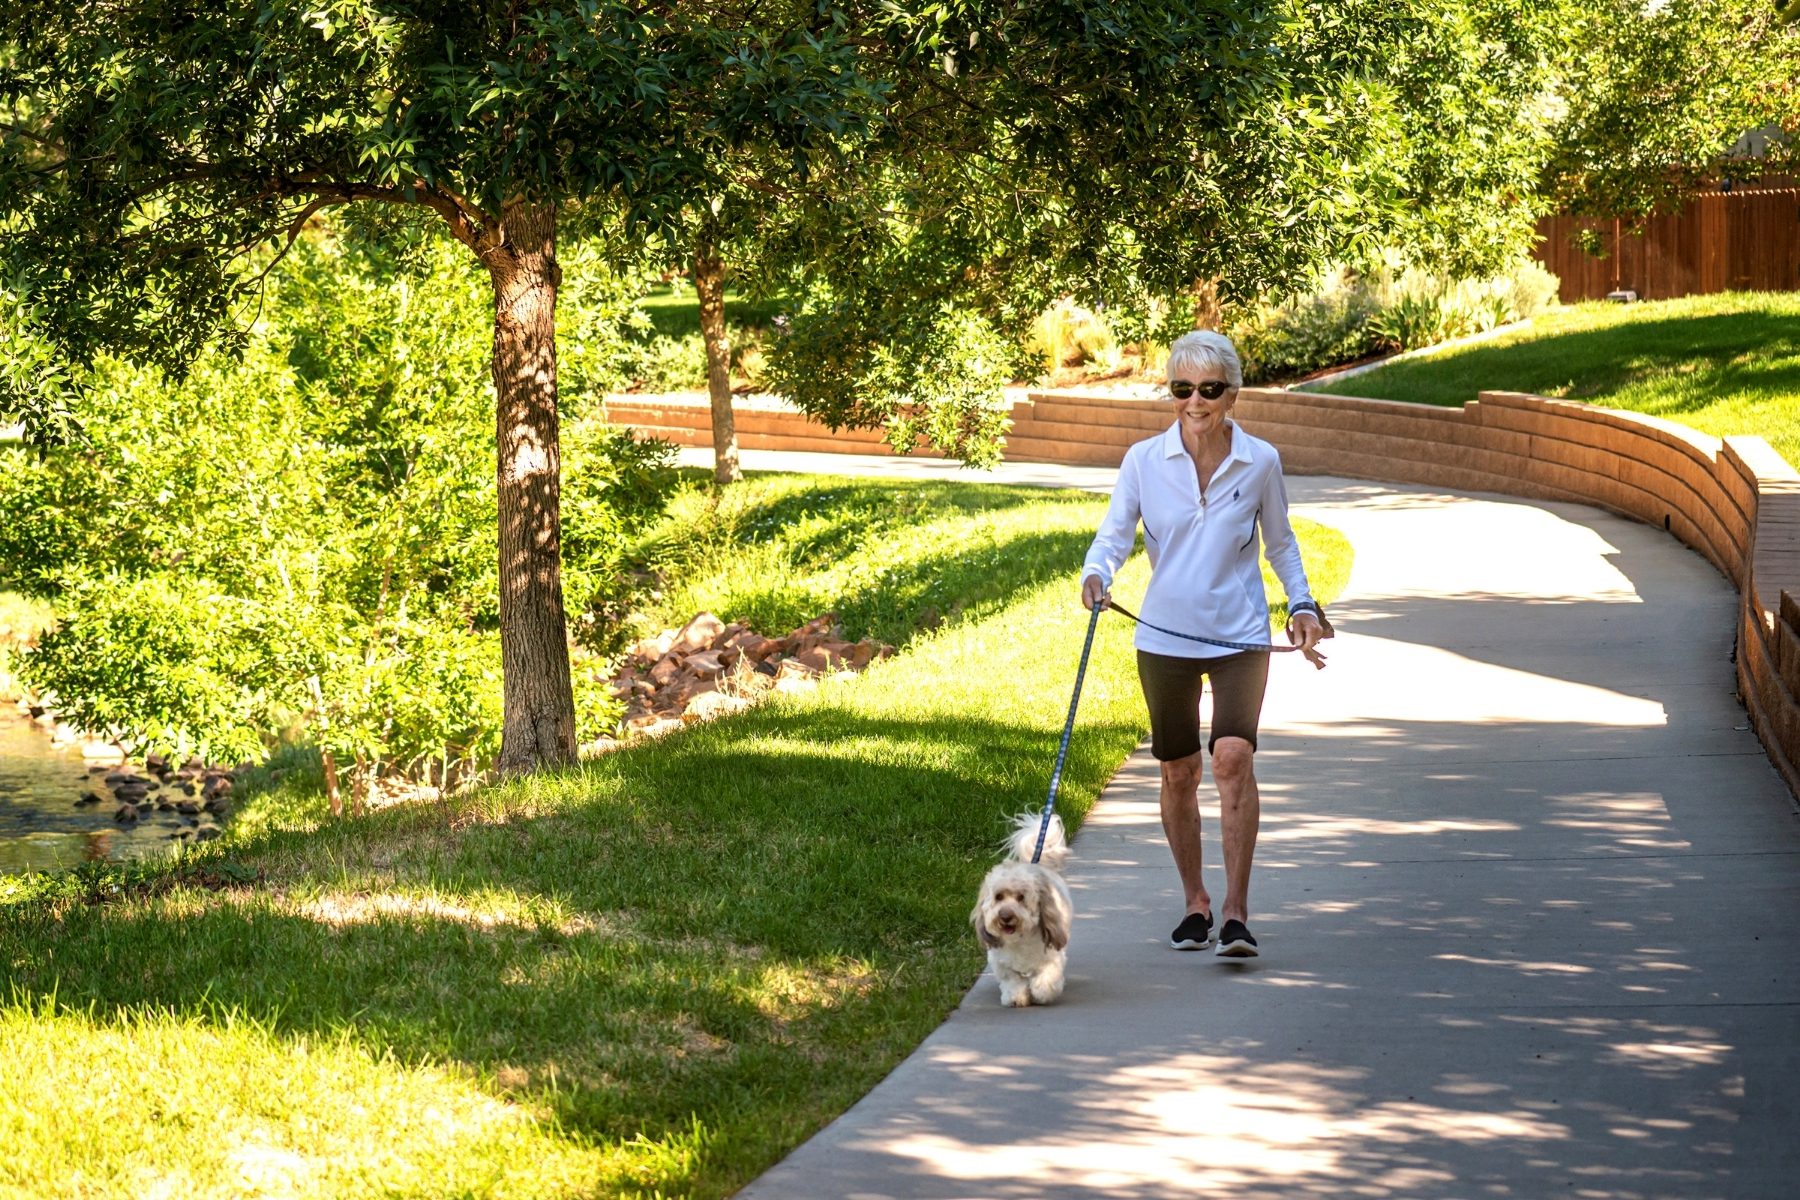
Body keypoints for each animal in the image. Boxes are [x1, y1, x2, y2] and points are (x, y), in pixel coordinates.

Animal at [972, 816, 1065, 1007]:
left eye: (1021, 897)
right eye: (998, 897)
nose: (1006, 916)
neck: (1019, 939)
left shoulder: (1051, 956)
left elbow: (1046, 978)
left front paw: (1041, 993)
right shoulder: (1003, 965)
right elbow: (1012, 982)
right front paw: (1016, 997)